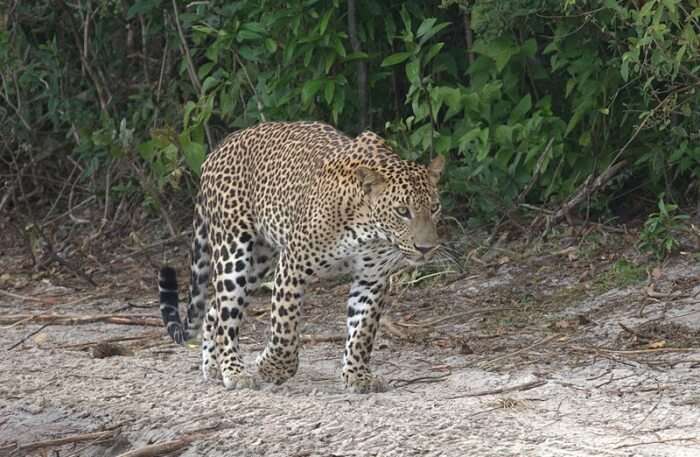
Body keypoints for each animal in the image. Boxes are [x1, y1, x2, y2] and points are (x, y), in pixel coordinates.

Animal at [158, 121, 442, 392]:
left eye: (435, 208)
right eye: (402, 211)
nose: (426, 248)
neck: (369, 231)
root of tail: (218, 148)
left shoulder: (371, 279)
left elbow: (362, 332)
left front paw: (357, 376)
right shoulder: (293, 263)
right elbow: (285, 326)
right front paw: (272, 368)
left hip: (258, 262)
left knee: (213, 311)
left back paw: (213, 366)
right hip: (233, 251)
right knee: (226, 316)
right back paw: (234, 371)